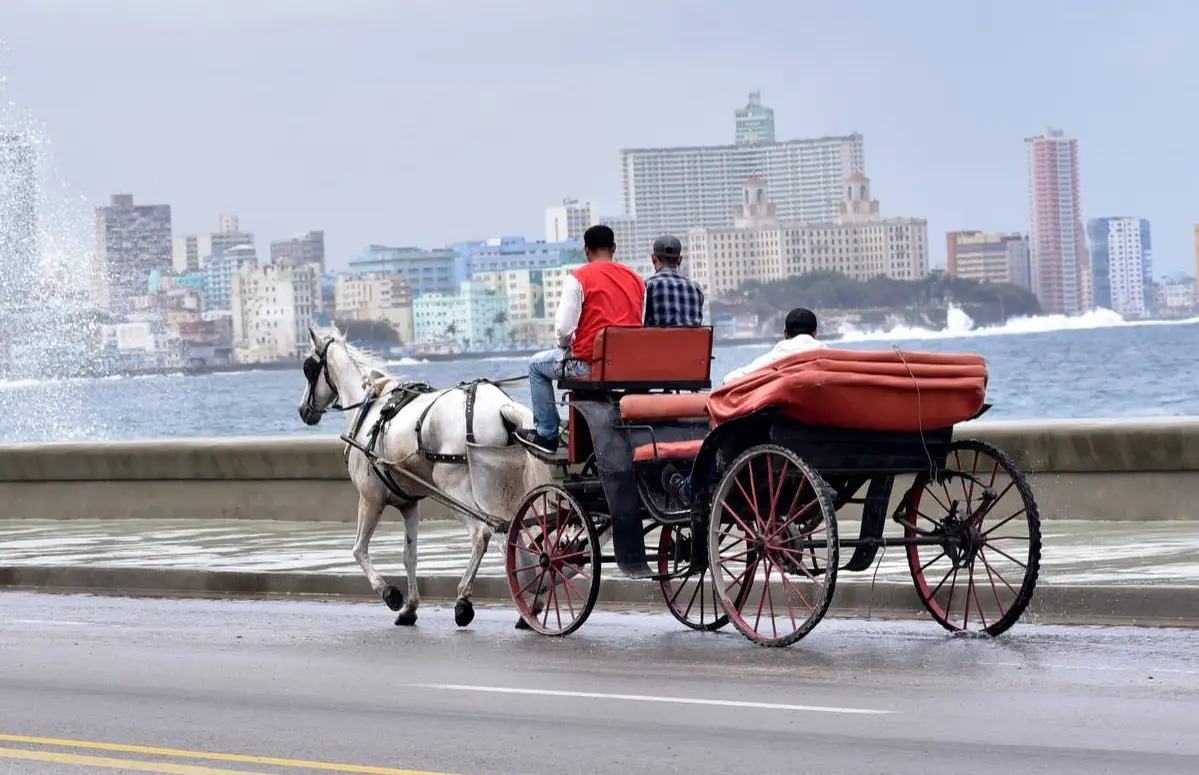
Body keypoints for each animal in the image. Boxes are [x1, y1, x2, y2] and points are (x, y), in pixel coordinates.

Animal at [297, 323, 549, 628]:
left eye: (309, 367)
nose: (304, 410)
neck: (369, 409)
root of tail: (500, 406)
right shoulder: (408, 504)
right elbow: (410, 556)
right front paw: (410, 607)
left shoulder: (370, 498)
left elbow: (358, 549)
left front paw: (390, 593)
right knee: (516, 535)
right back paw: (530, 603)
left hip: (456, 487)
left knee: (485, 534)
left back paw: (467, 600)